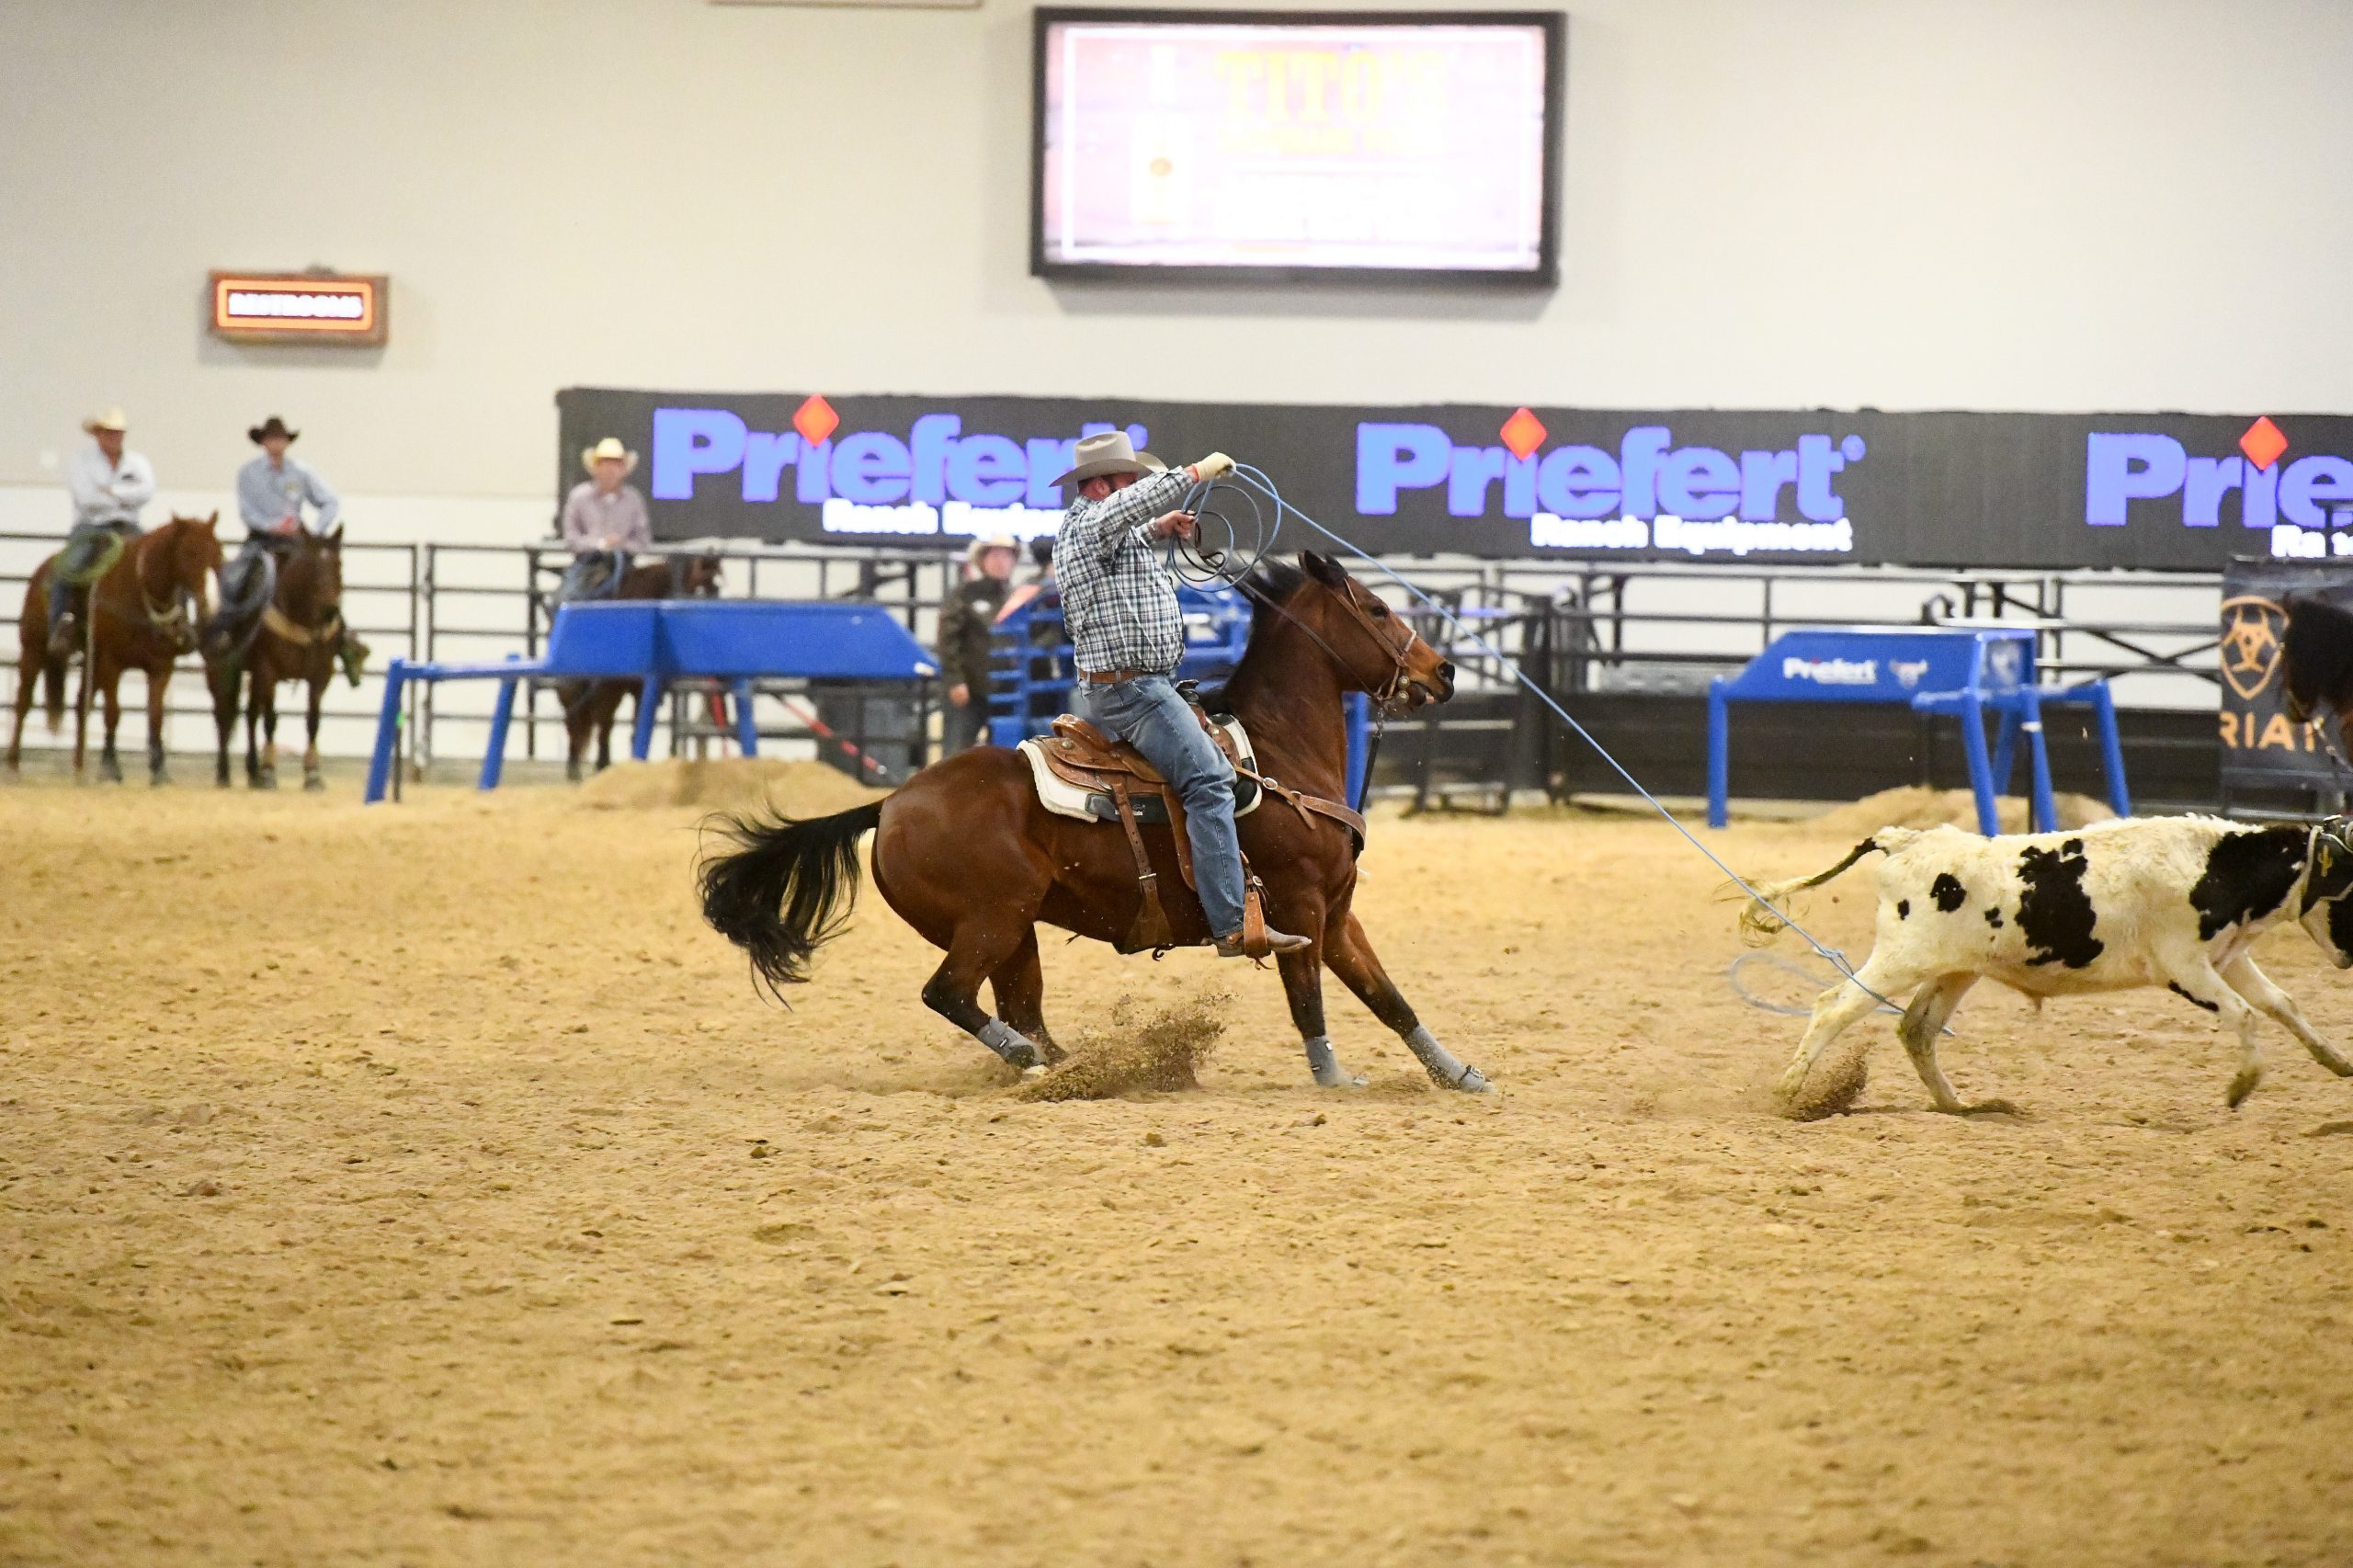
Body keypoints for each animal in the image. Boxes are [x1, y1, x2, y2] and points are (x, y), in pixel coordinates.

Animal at [7, 513, 222, 781]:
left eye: (218, 553)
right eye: (190, 553)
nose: (211, 604)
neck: (139, 591)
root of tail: (42, 571)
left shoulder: (161, 667)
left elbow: (156, 717)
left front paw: (159, 770)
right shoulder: (112, 663)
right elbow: (113, 713)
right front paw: (110, 767)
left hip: (91, 661)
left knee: (81, 703)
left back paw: (80, 767)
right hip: (33, 649)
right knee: (23, 701)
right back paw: (14, 764)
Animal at [199, 527, 343, 795]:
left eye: (339, 564)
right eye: (312, 566)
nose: (331, 610)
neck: (300, 618)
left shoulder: (320, 675)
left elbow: (313, 721)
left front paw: (313, 775)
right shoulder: (268, 671)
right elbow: (270, 720)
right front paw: (269, 772)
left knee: (250, 716)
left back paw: (252, 772)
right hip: (220, 668)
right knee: (224, 715)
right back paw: (224, 774)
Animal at [552, 555, 720, 786]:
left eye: (717, 587)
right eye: (706, 586)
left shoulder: (640, 688)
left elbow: (636, 727)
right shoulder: (610, 687)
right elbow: (604, 725)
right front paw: (602, 765)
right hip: (574, 690)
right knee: (577, 722)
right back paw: (576, 768)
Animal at [700, 555, 1486, 1092]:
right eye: (1376, 609)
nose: (1445, 672)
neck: (1278, 752)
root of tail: (891, 803)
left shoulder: (1340, 914)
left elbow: (1389, 999)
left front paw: (1459, 1075)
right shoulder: (1300, 908)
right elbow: (1310, 1001)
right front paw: (1334, 1080)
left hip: (1014, 934)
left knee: (1021, 1010)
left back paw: (1076, 1067)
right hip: (992, 919)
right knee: (948, 995)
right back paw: (1040, 1062)